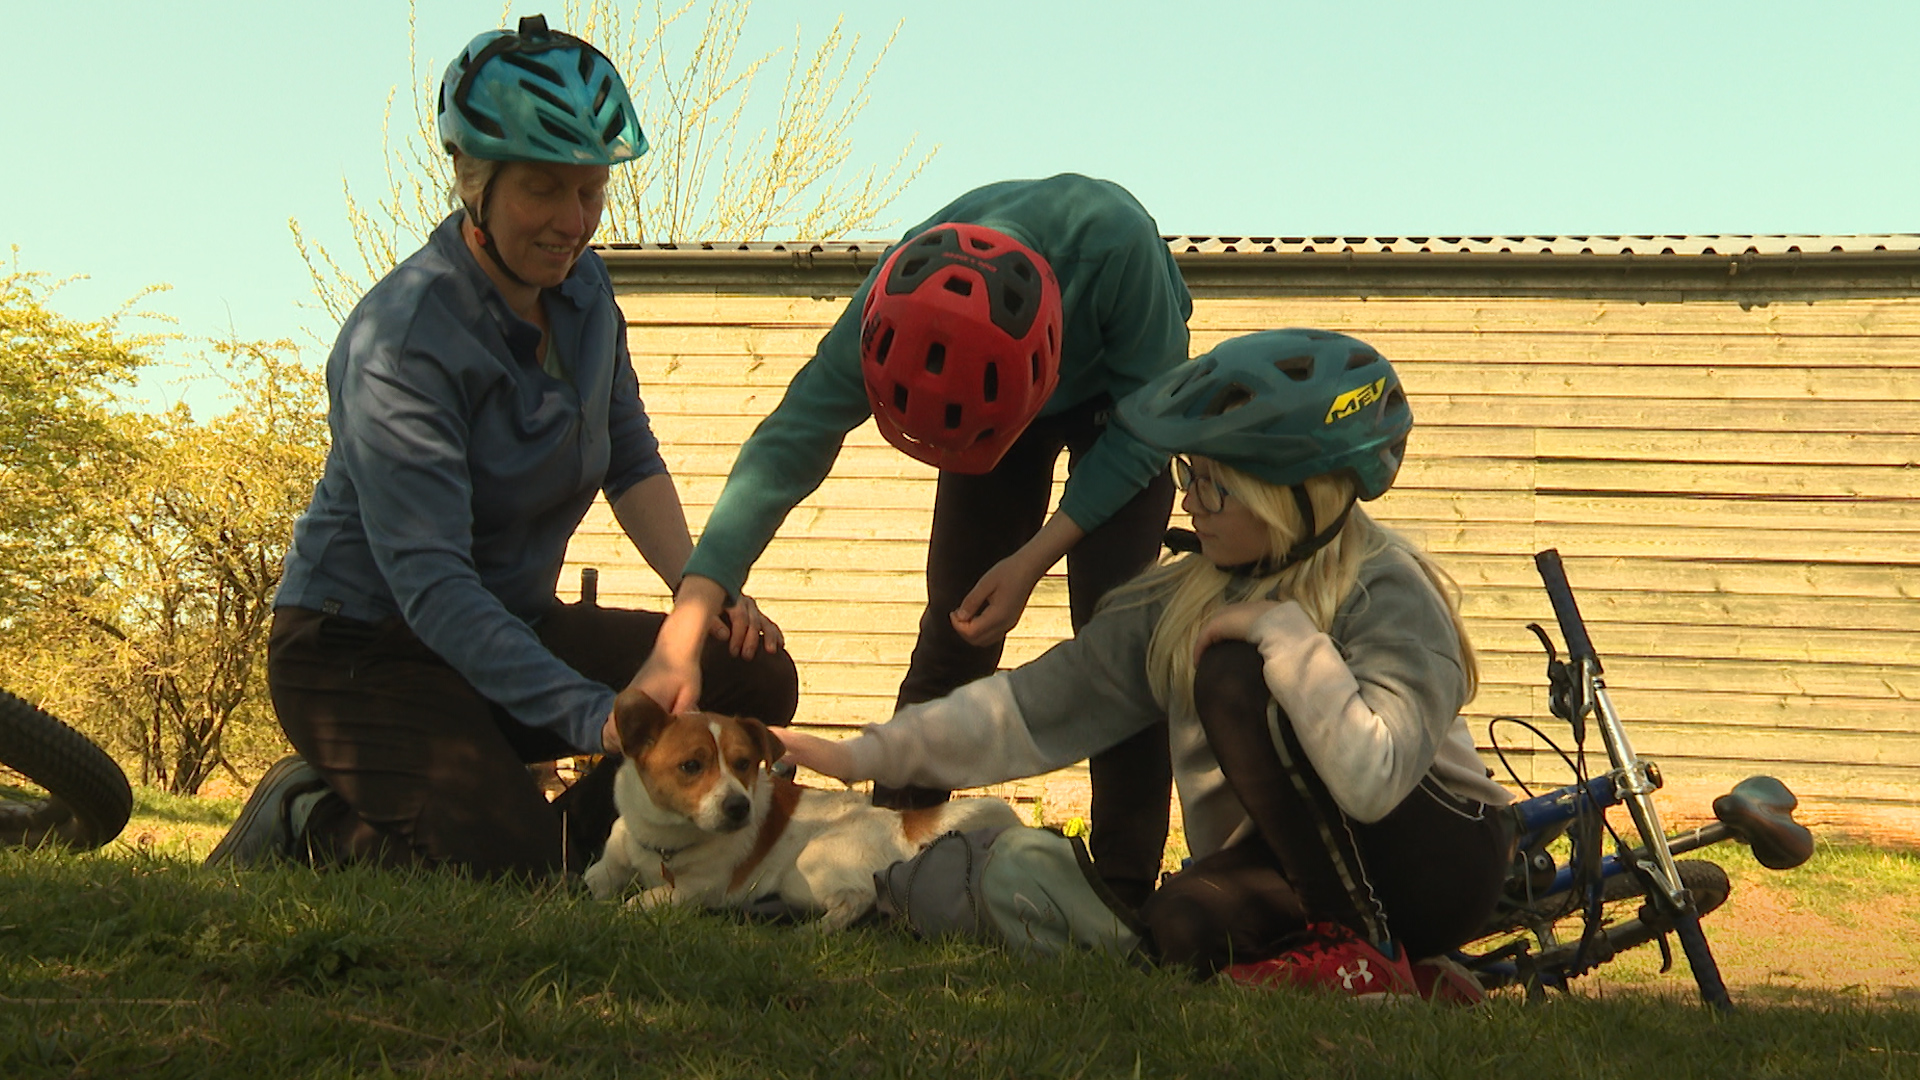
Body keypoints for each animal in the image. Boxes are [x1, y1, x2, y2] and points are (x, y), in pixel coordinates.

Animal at [583, 687, 1029, 926]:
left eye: (744, 763)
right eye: (691, 766)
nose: (739, 807)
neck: (665, 844)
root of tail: (901, 820)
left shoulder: (702, 889)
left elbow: (641, 901)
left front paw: (621, 910)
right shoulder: (614, 860)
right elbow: (593, 879)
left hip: (807, 867)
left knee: (860, 899)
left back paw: (816, 929)